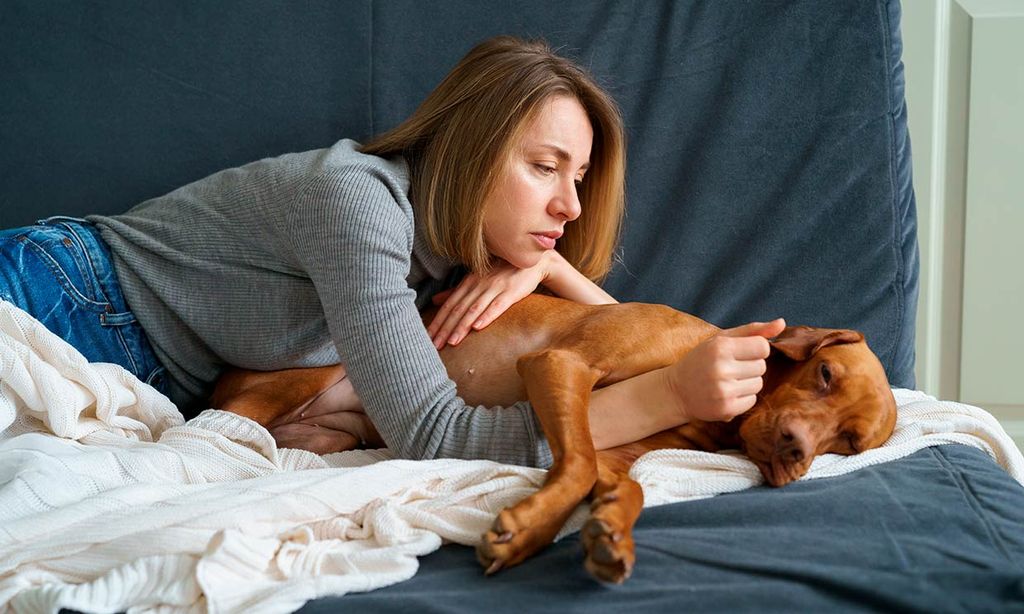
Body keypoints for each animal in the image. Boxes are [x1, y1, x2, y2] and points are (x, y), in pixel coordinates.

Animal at [211, 292, 892, 581]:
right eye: (825, 375)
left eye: (849, 443)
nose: (797, 450)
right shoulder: (560, 366)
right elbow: (580, 464)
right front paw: (527, 529)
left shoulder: (621, 452)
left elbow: (623, 485)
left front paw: (610, 531)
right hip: (300, 375)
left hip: (332, 432)